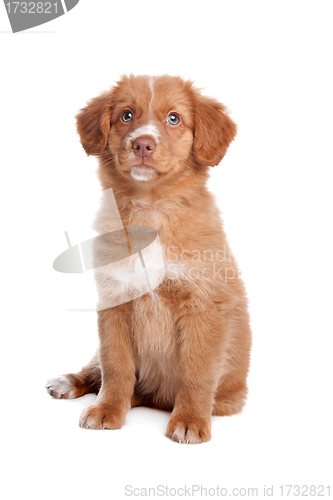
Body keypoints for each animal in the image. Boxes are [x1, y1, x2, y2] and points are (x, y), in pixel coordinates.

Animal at [46, 73, 249, 442]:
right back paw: (70, 383)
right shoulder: (114, 302)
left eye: (174, 119)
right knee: (97, 370)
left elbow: (197, 371)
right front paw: (108, 409)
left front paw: (190, 420)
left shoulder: (203, 306)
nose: (142, 144)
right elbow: (116, 366)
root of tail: (156, 398)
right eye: (127, 115)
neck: (150, 207)